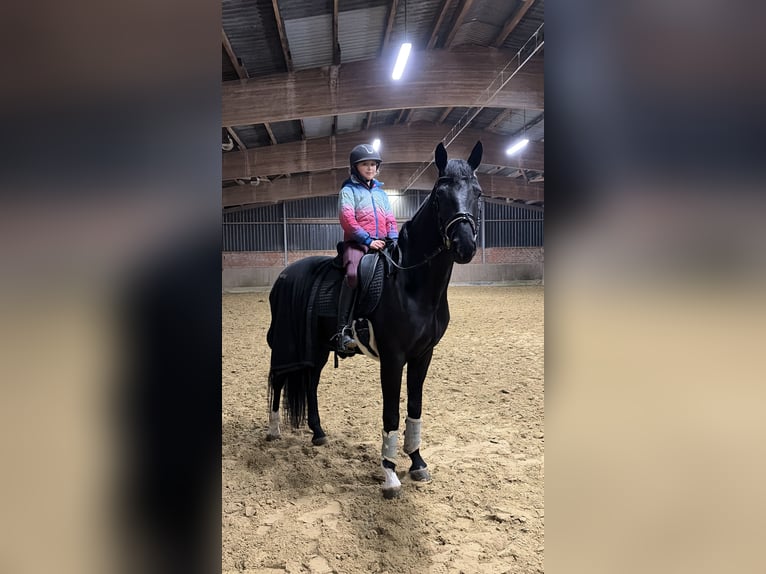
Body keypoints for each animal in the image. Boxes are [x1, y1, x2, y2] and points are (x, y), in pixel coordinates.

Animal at [265, 141, 483, 498]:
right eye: (440, 195)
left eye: (477, 193)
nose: (464, 246)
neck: (412, 283)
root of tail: (285, 275)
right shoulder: (393, 358)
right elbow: (391, 413)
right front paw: (390, 474)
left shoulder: (423, 356)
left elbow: (414, 407)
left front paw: (417, 463)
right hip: (287, 342)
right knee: (280, 378)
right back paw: (273, 431)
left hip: (317, 348)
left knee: (310, 382)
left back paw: (318, 433)